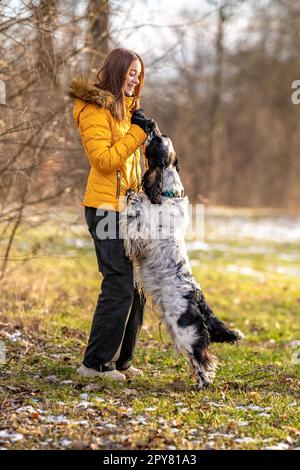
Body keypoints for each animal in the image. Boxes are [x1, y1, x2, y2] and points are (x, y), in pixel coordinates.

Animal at [120, 122, 244, 390]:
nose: (152, 125)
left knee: (204, 359)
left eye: (156, 140)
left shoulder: (141, 240)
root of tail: (199, 300)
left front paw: (132, 196)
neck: (167, 193)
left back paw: (202, 383)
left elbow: (134, 218)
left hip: (185, 332)